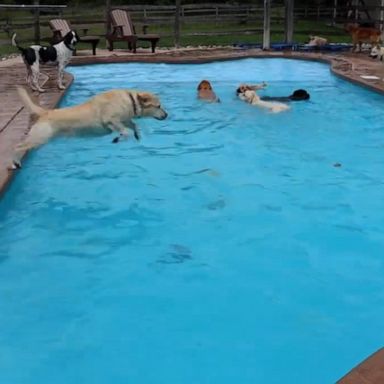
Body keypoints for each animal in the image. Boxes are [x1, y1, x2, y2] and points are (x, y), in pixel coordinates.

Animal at [11, 87, 168, 168]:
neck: (130, 100)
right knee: (18, 147)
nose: (167, 115)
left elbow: (134, 125)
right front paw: (117, 138)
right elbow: (124, 132)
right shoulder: (111, 120)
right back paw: (14, 162)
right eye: (159, 106)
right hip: (40, 138)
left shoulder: (125, 119)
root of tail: (46, 112)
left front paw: (137, 135)